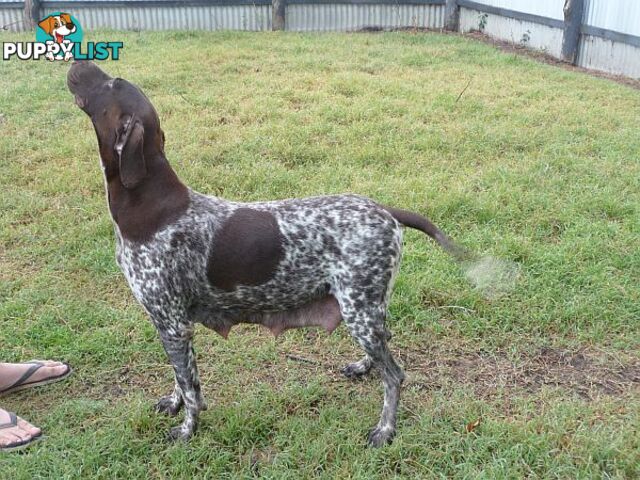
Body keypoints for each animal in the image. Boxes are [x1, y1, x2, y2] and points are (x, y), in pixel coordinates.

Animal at [67, 61, 470, 446]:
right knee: (385, 345)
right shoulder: (169, 324)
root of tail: (385, 210)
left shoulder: (173, 324)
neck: (152, 207)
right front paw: (174, 402)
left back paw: (385, 429)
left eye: (110, 84)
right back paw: (362, 366)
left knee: (395, 375)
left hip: (359, 310)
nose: (76, 62)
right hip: (367, 308)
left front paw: (187, 430)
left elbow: (193, 390)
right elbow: (182, 378)